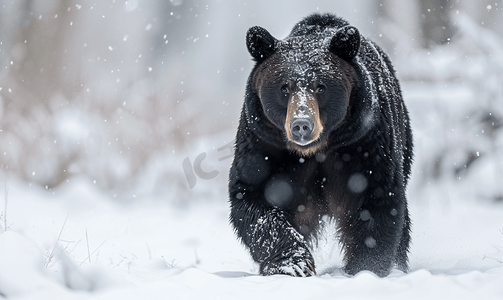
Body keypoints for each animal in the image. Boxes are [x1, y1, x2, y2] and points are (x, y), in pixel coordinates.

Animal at [228, 12, 414, 278]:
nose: (302, 124)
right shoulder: (264, 144)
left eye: (320, 86)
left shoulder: (364, 143)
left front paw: (365, 268)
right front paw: (294, 264)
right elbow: (256, 199)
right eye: (284, 87)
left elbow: (376, 199)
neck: (316, 151)